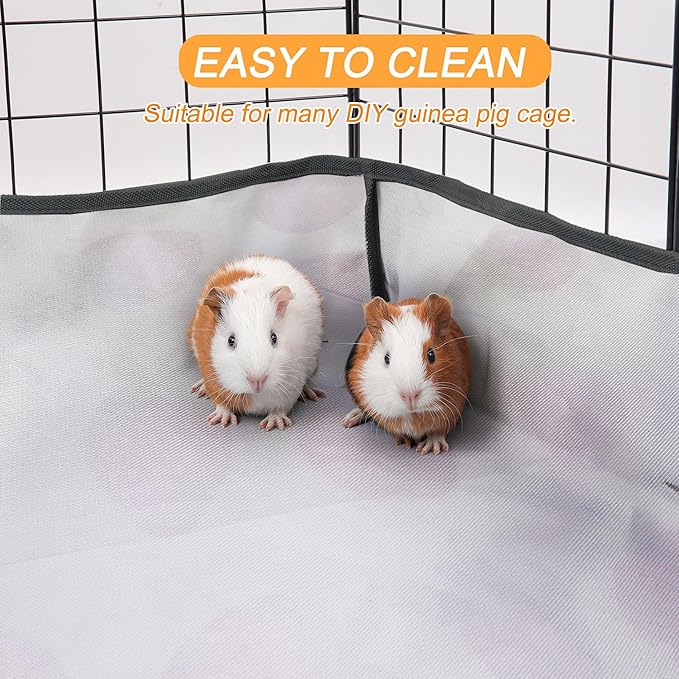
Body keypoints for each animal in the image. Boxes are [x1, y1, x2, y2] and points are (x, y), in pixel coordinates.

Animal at [189, 255, 324, 431]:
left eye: (274, 337)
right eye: (230, 341)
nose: (257, 380)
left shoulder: (291, 385)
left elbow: (281, 407)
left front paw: (275, 424)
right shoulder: (211, 374)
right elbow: (220, 402)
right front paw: (220, 420)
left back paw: (311, 394)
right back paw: (200, 389)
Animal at [343, 294, 471, 454]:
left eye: (431, 354)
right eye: (386, 358)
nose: (410, 395)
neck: (412, 415)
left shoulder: (453, 406)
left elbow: (438, 431)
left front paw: (431, 448)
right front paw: (406, 441)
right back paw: (349, 420)